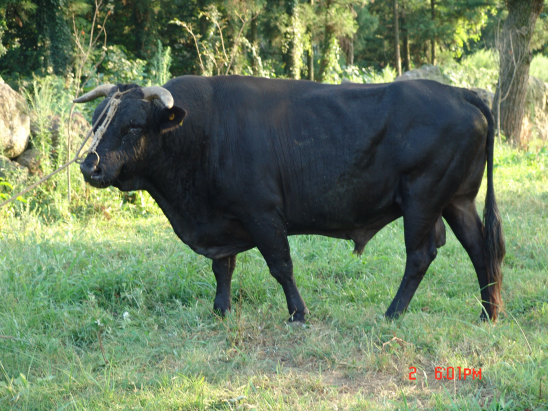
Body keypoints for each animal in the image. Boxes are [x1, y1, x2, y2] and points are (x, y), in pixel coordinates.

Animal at [77, 75, 506, 324]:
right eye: (96, 120)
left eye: (133, 125)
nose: (88, 165)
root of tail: (460, 92)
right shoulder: (222, 218)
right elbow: (223, 267)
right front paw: (221, 310)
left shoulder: (262, 213)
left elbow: (280, 265)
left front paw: (298, 313)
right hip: (457, 200)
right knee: (480, 248)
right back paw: (488, 311)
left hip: (422, 197)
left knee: (420, 255)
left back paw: (393, 313)